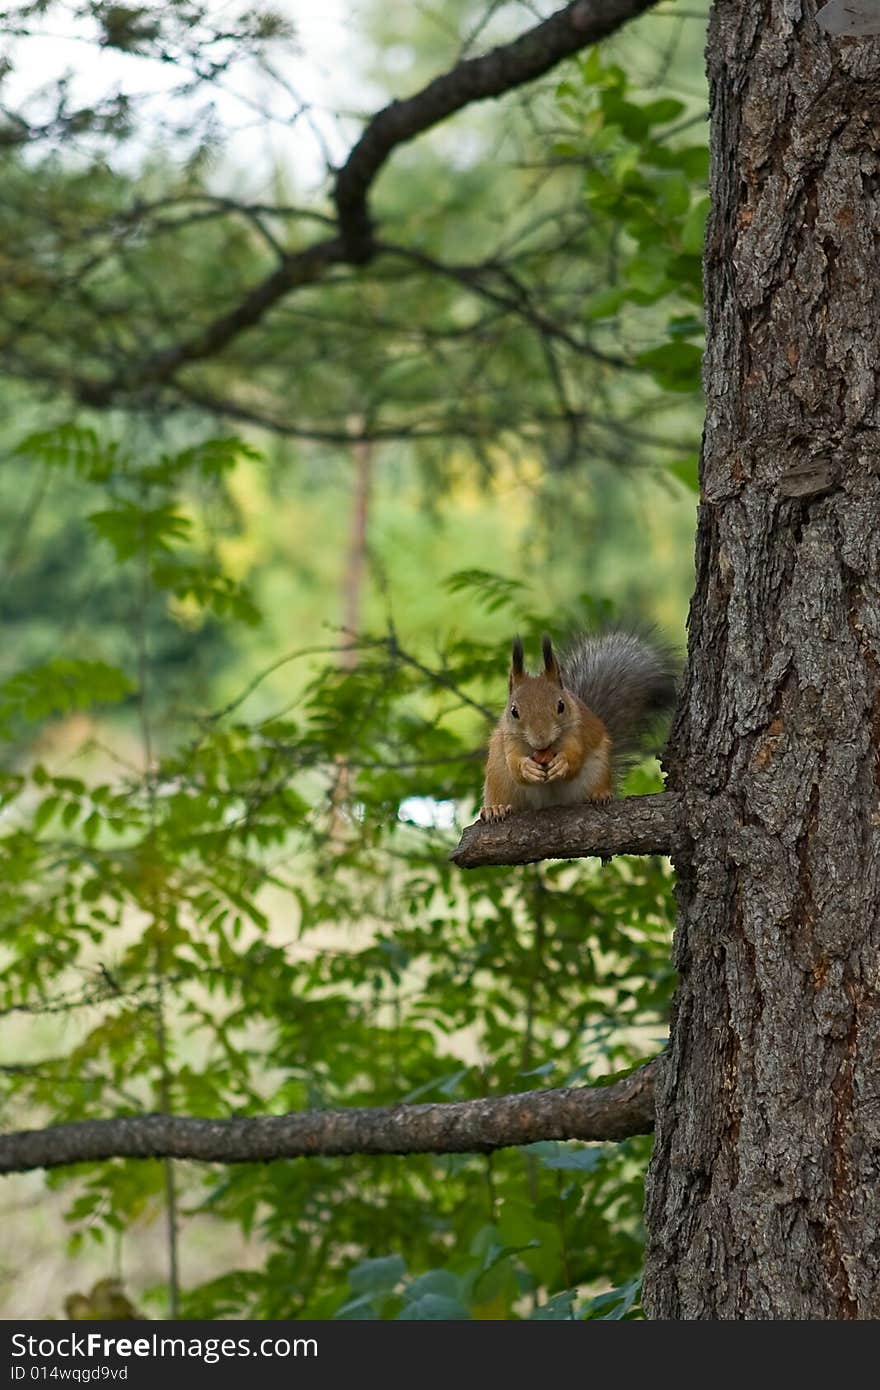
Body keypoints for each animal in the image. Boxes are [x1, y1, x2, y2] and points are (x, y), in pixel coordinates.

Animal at [483, 633, 675, 822]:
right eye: (514, 711)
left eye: (561, 705)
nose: (541, 739)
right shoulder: (509, 739)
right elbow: (514, 764)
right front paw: (526, 768)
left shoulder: (577, 731)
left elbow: (575, 757)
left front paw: (562, 763)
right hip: (498, 778)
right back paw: (495, 808)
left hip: (598, 769)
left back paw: (600, 794)